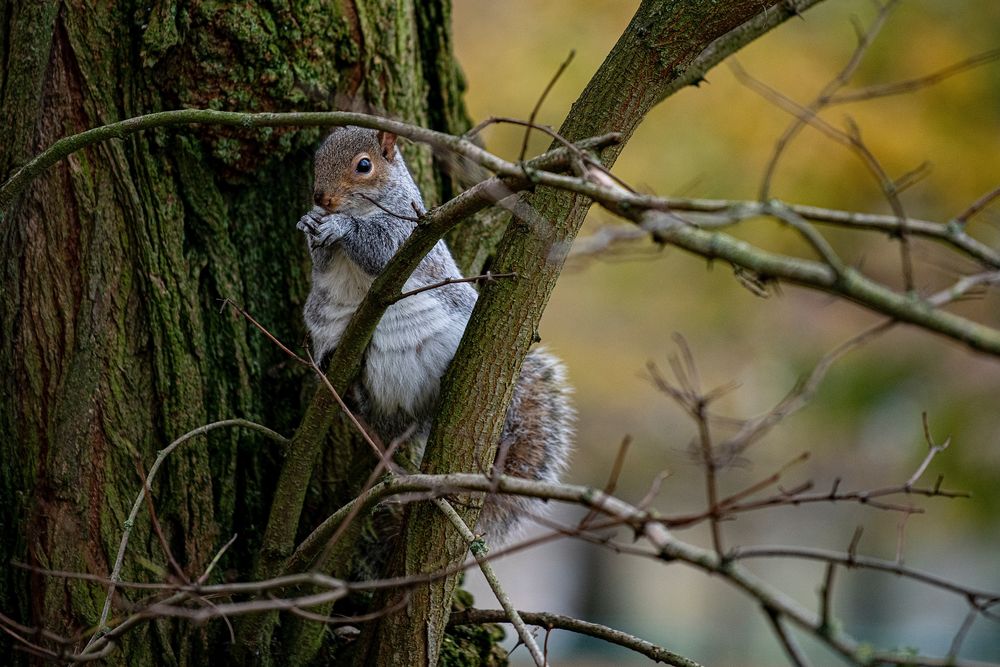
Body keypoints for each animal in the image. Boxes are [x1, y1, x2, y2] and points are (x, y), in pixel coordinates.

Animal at [296, 126, 576, 544]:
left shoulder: (409, 233)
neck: (362, 208)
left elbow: (379, 251)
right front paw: (310, 223)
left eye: (364, 166)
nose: (321, 198)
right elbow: (323, 261)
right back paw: (345, 381)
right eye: (316, 160)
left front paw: (339, 227)